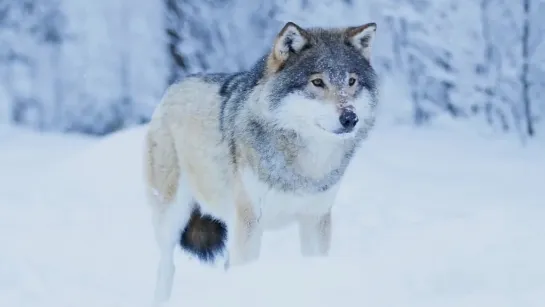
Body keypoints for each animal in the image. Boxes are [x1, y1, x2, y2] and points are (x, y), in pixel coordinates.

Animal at [143, 20, 378, 304]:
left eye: (352, 81)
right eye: (317, 82)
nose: (350, 118)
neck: (305, 165)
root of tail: (176, 84)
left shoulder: (315, 219)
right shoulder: (250, 222)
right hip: (173, 216)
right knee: (166, 266)